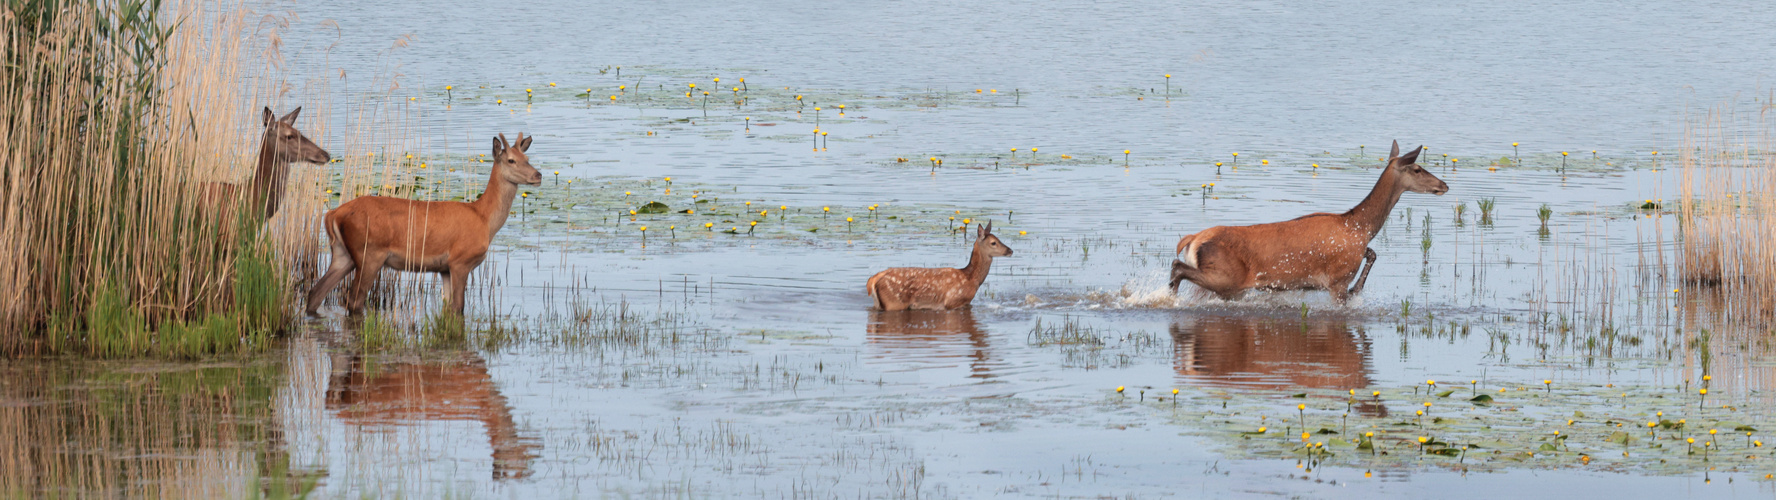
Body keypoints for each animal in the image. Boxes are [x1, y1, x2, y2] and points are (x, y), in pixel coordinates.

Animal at [305, 134, 539, 313]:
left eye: (527, 157)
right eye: (511, 160)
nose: (538, 175)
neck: (484, 218)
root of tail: (333, 214)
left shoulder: (444, 268)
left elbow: (448, 307)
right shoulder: (460, 260)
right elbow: (459, 307)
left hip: (343, 253)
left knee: (316, 291)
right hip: (369, 253)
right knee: (354, 299)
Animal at [870, 221, 1015, 308]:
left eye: (999, 239)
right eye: (993, 243)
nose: (1010, 250)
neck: (971, 278)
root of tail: (873, 280)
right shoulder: (953, 302)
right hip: (894, 302)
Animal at [1172, 141, 1449, 304]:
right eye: (1417, 169)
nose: (1444, 185)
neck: (1359, 227)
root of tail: (1192, 240)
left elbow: (1372, 254)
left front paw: (1358, 288)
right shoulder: (1338, 279)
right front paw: (1356, 288)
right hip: (1228, 279)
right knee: (1177, 267)